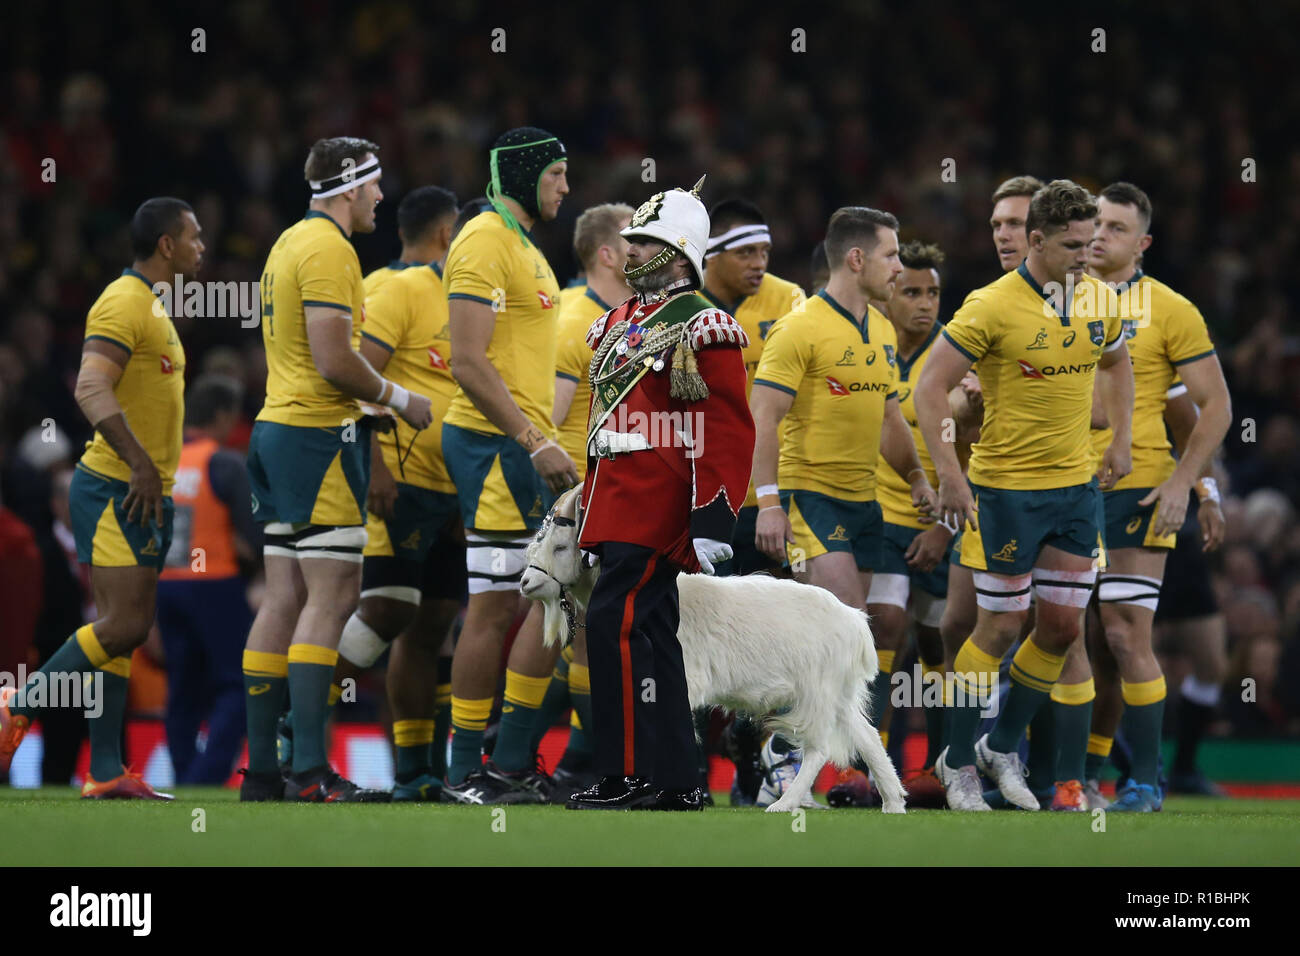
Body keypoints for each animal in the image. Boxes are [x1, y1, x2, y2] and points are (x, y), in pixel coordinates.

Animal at [522, 494, 909, 816]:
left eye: (561, 547)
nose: (526, 583)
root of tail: (855, 621)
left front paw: (656, 792)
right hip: (838, 694)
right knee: (868, 736)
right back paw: (893, 802)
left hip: (817, 692)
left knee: (819, 749)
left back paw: (784, 804)